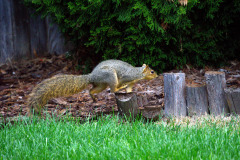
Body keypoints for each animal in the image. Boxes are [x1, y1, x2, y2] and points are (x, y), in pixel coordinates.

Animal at [27, 59, 158, 114]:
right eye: (152, 72)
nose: (157, 75)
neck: (138, 73)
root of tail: (92, 76)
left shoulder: (131, 83)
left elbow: (130, 89)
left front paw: (131, 92)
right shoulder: (127, 77)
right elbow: (122, 83)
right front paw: (122, 87)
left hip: (101, 84)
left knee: (91, 90)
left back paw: (93, 98)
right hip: (110, 76)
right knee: (112, 89)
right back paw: (117, 89)